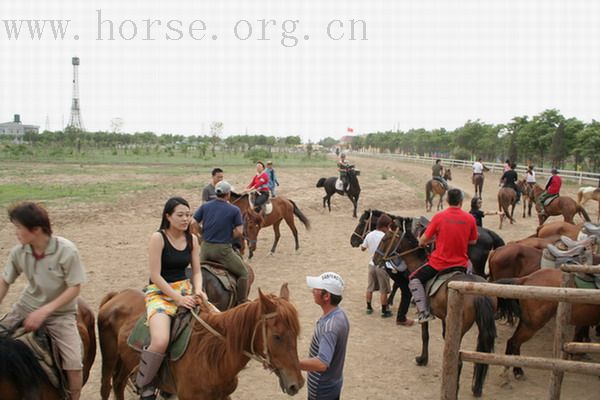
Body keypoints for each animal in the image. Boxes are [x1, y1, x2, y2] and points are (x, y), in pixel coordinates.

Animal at [99, 284, 304, 400]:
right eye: (277, 336)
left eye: (295, 334)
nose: (297, 384)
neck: (212, 358)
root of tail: (117, 295)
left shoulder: (223, 396)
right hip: (110, 358)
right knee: (107, 388)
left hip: (125, 362)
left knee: (118, 384)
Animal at [372, 219, 494, 396]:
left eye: (384, 238)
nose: (375, 259)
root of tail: (479, 292)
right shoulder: (445, 317)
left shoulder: (424, 311)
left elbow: (425, 335)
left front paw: (422, 359)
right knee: (481, 356)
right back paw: (477, 387)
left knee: (458, 360)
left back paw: (454, 388)